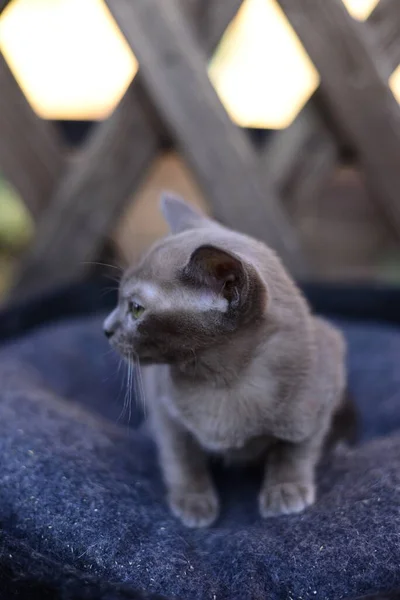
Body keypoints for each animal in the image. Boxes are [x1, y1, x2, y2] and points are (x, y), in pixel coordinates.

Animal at [104, 195, 346, 528]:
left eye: (136, 309)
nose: (106, 328)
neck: (224, 383)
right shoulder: (164, 407)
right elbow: (181, 455)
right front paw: (193, 503)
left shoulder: (324, 384)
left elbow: (296, 448)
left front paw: (285, 490)